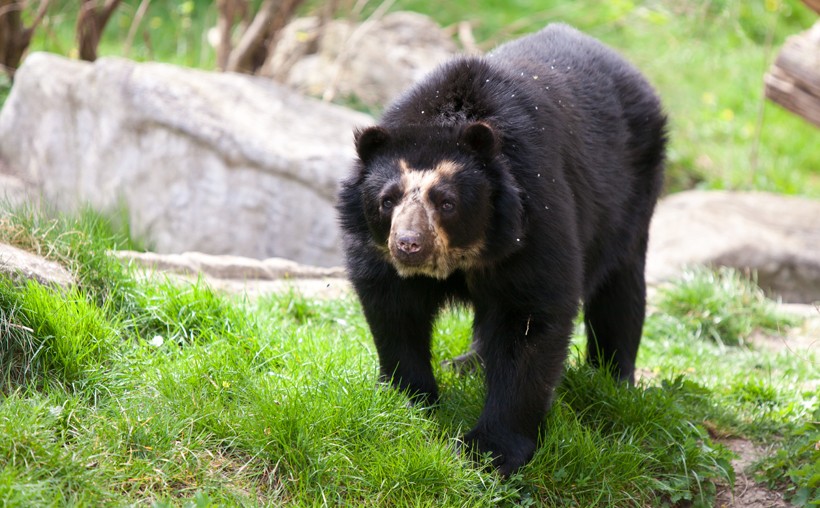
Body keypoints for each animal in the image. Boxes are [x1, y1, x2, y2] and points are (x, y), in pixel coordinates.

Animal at [336, 22, 664, 476]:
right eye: (388, 200)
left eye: (447, 202)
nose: (408, 245)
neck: (466, 254)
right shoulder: (376, 251)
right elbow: (394, 309)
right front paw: (407, 400)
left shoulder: (534, 217)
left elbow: (530, 318)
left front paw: (488, 451)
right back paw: (467, 364)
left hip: (631, 193)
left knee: (620, 288)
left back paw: (612, 380)